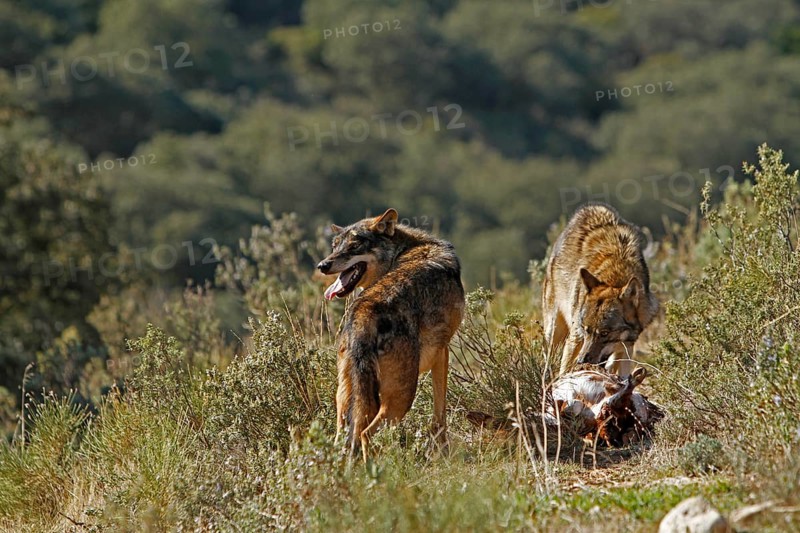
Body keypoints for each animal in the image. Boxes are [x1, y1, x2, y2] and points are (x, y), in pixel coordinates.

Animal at [317, 208, 465, 460]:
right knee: (366, 434)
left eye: (353, 246)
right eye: (336, 246)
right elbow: (440, 413)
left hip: (346, 398)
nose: (322, 265)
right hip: (402, 396)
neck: (404, 250)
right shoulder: (442, 351)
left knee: (343, 438)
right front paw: (443, 452)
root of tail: (362, 314)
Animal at [542, 203, 659, 377]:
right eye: (587, 331)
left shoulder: (626, 349)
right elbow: (564, 371)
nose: (581, 361)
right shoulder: (576, 337)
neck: (616, 275)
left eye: (604, 333)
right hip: (554, 332)